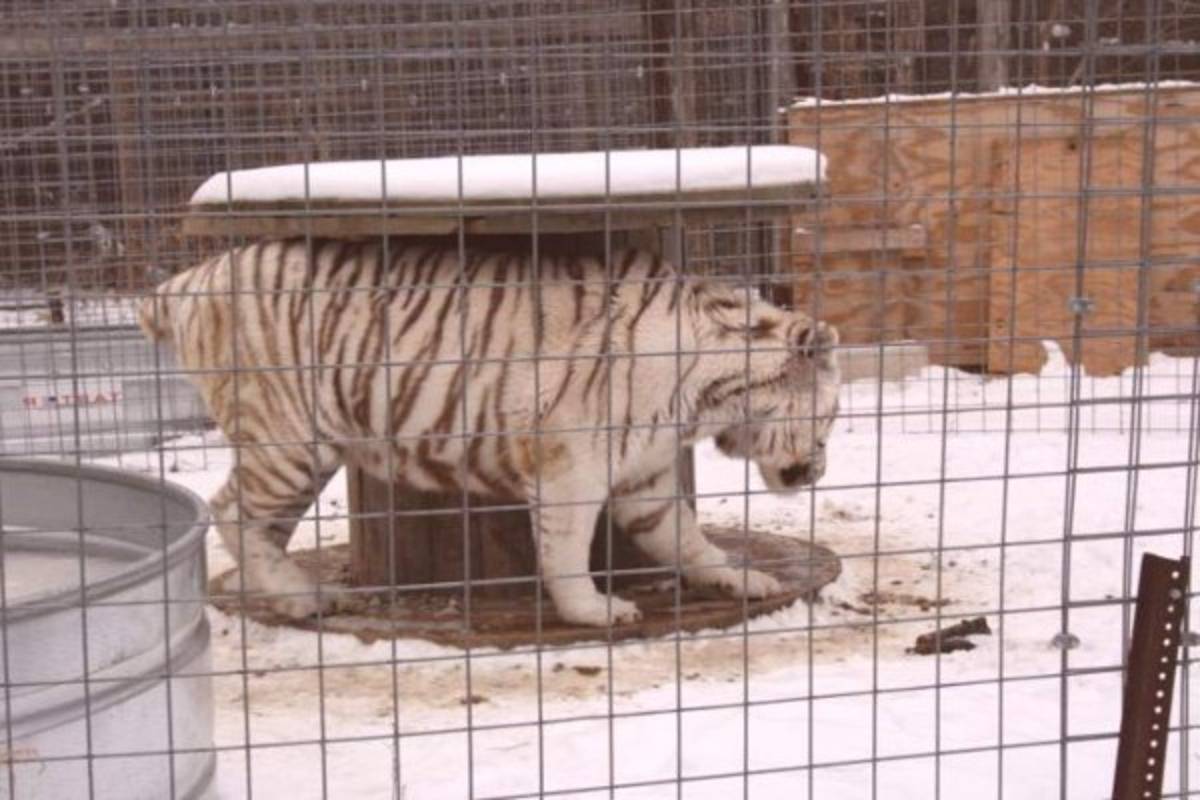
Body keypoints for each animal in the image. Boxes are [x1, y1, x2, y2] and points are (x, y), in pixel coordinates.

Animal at [139, 237, 841, 627]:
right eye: (832, 418)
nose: (819, 472)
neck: (708, 393)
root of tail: (186, 280)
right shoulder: (571, 467)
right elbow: (566, 551)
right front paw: (593, 611)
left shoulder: (645, 476)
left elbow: (686, 538)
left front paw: (739, 579)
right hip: (288, 439)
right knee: (232, 509)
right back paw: (301, 599)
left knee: (257, 525)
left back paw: (297, 598)